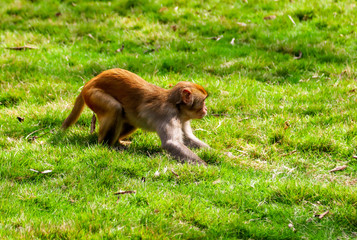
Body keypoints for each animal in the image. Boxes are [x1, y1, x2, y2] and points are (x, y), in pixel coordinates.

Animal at [62, 67, 209, 165]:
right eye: (203, 101)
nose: (206, 109)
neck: (176, 107)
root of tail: (90, 82)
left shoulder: (183, 118)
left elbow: (188, 139)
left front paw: (214, 153)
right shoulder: (168, 115)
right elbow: (171, 143)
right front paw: (206, 166)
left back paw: (118, 142)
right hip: (94, 95)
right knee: (115, 108)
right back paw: (107, 145)